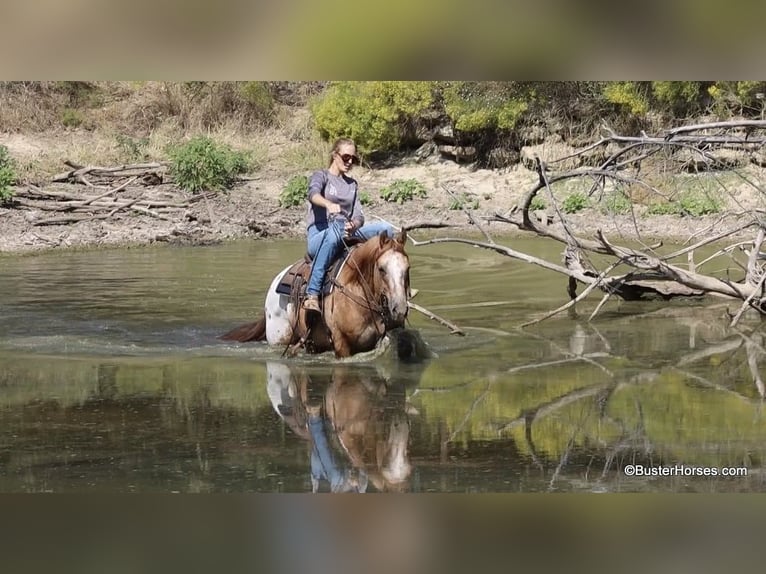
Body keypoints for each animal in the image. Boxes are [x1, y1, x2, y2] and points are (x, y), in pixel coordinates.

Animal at [222, 231, 414, 358]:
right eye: (381, 269)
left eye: (407, 268)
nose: (399, 309)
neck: (355, 289)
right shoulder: (341, 344)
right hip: (280, 339)